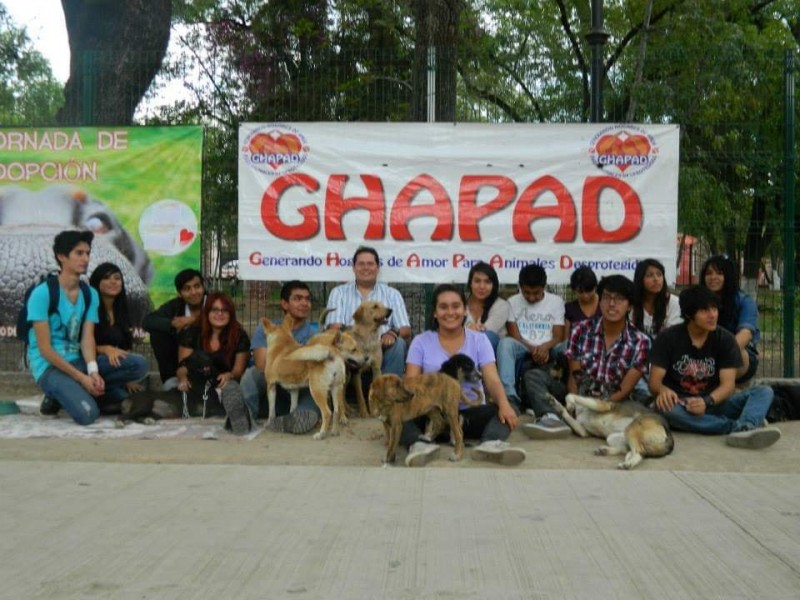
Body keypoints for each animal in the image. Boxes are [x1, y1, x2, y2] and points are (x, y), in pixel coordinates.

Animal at [544, 376, 676, 468]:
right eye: (589, 380)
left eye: (602, 383)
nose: (598, 383)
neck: (584, 409)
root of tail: (669, 433)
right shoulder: (583, 431)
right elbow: (566, 413)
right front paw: (556, 404)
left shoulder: (603, 405)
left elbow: (571, 395)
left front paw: (570, 403)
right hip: (613, 437)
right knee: (629, 450)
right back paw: (605, 451)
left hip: (632, 428)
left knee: (639, 452)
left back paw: (628, 464)